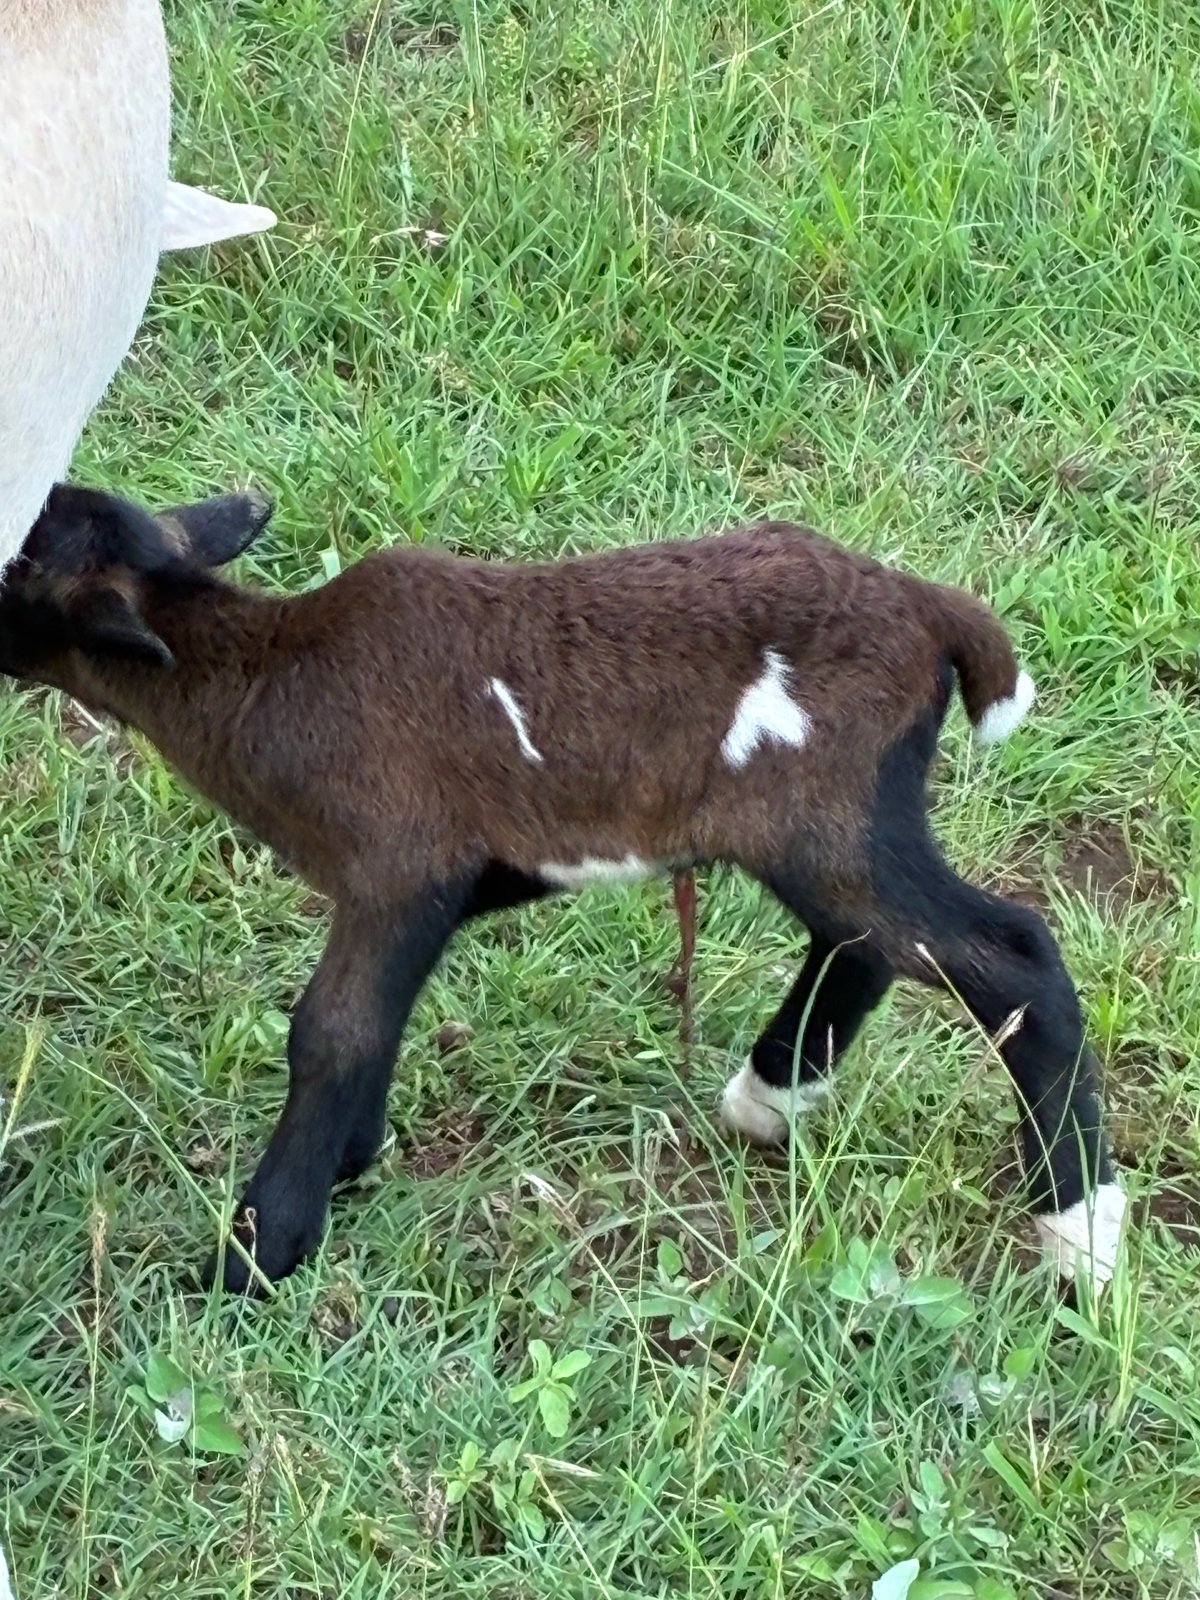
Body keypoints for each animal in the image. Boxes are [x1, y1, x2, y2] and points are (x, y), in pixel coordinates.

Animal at [0, 483, 1127, 1295]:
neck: (266, 680)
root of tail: (932, 614)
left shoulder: (397, 863)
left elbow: (332, 1029)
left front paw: (255, 1254)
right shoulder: (430, 890)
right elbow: (379, 1019)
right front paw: (350, 1162)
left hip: (831, 809)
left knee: (1010, 958)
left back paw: (1081, 1236)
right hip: (833, 827)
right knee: (871, 943)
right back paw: (771, 1099)